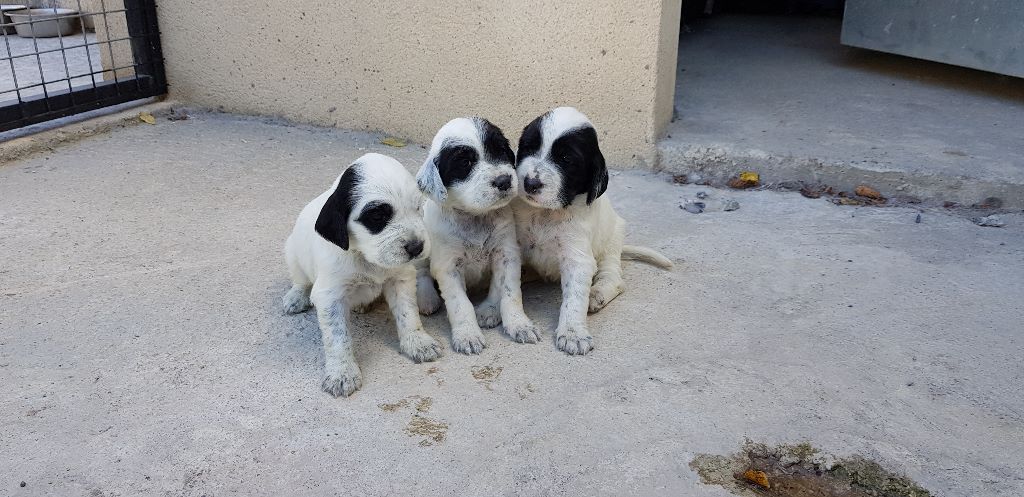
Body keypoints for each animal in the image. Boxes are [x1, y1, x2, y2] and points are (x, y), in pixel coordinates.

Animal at [284, 152, 440, 397]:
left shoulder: (401, 279)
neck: (365, 256)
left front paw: (417, 342)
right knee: (301, 280)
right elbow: (338, 337)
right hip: (292, 252)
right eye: (377, 217)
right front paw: (342, 372)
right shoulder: (330, 296)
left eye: (417, 208)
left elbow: (408, 314)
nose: (417, 248)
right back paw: (296, 297)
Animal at [415, 118, 544, 354]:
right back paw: (427, 298)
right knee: (421, 271)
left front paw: (519, 324)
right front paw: (467, 335)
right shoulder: (448, 266)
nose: (504, 181)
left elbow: (509, 292)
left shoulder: (506, 253)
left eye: (500, 150)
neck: (476, 217)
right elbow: (460, 304)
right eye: (465, 163)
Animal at [516, 105, 675, 352]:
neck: (546, 213)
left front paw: (573, 333)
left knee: (614, 279)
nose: (530, 183)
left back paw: (596, 294)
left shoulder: (578, 259)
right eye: (528, 147)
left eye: (566, 158)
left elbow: (574, 299)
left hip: (611, 245)